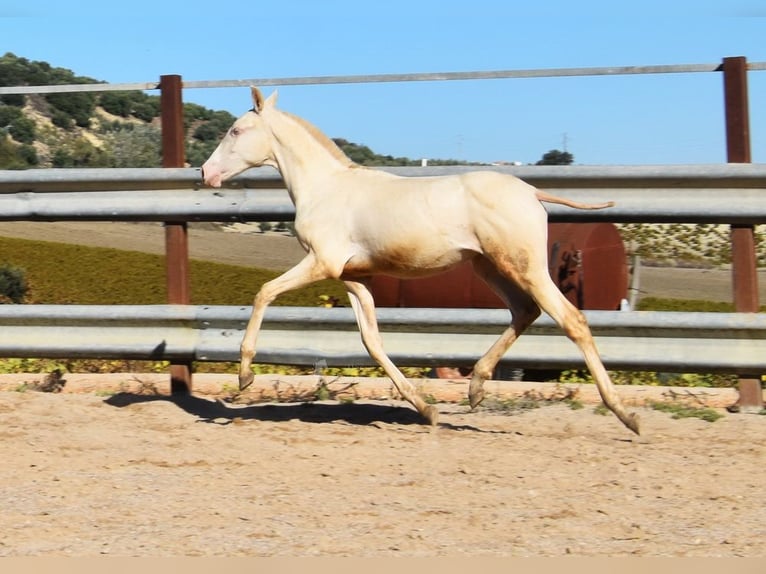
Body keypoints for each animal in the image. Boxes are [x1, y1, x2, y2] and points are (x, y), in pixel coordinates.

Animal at [202, 86, 640, 436]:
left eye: (236, 130)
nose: (206, 172)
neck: (326, 188)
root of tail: (532, 192)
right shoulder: (353, 277)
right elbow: (372, 341)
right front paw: (425, 409)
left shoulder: (322, 263)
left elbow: (264, 293)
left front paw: (244, 376)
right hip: (489, 267)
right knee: (524, 311)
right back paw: (476, 388)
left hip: (524, 267)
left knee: (571, 320)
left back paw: (625, 415)